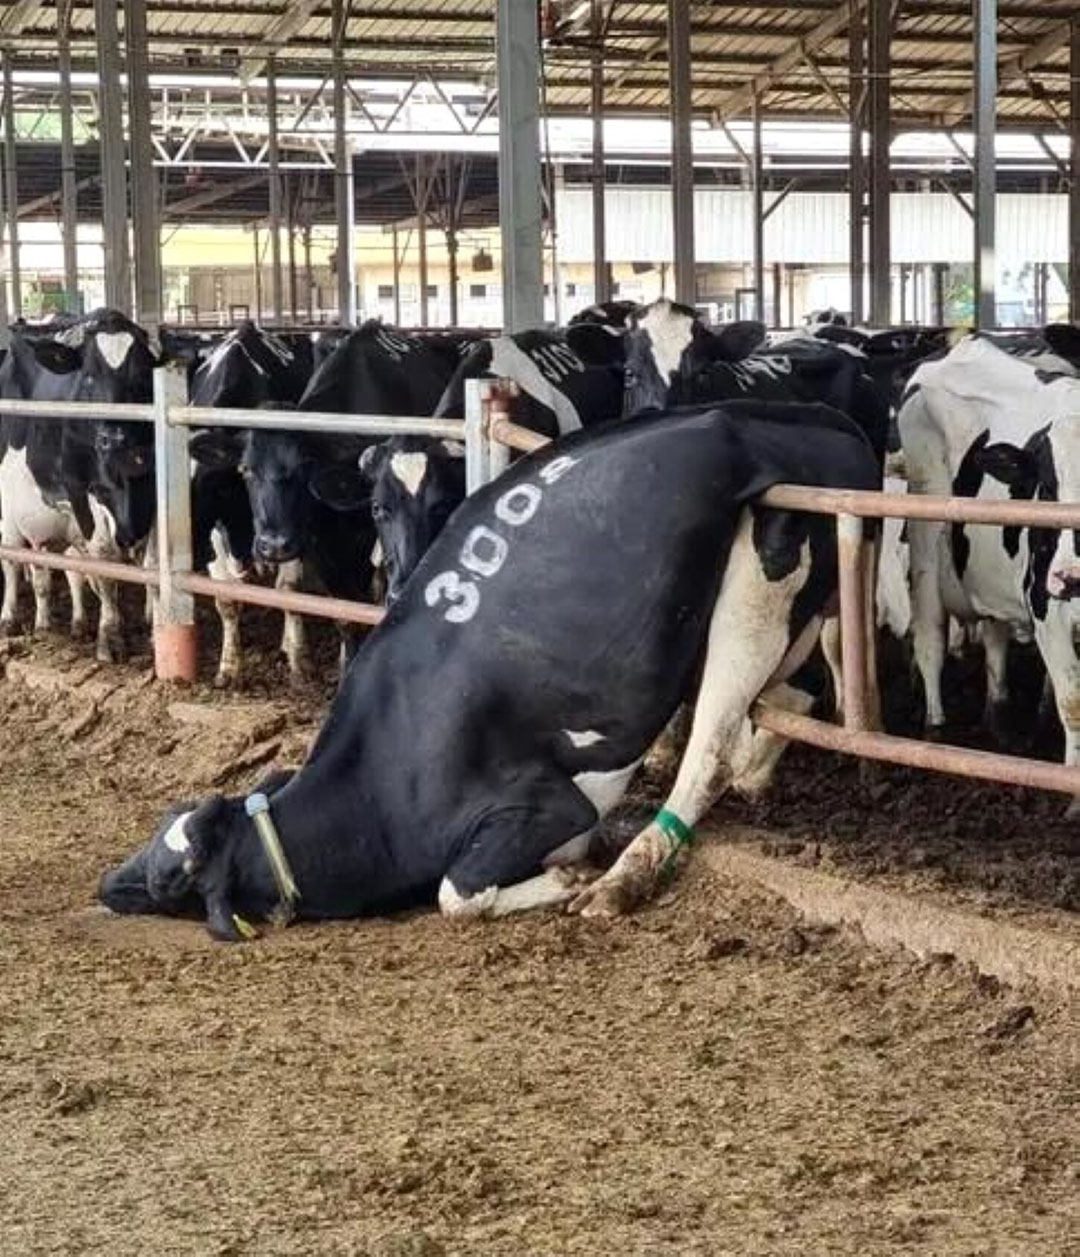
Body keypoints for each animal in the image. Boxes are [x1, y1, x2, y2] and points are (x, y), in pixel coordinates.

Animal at [97, 397, 885, 940]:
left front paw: (567, 879)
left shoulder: (546, 806)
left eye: (173, 876)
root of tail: (807, 418)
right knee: (797, 698)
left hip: (759, 578)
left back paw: (624, 878)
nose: (108, 884)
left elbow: (457, 894)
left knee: (714, 747)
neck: (384, 782)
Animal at [900, 331, 1080, 794]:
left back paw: (999, 718)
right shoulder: (1046, 606)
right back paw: (935, 729)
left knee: (995, 636)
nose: (1071, 577)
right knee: (929, 637)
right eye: (1046, 489)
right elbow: (1073, 701)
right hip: (926, 532)